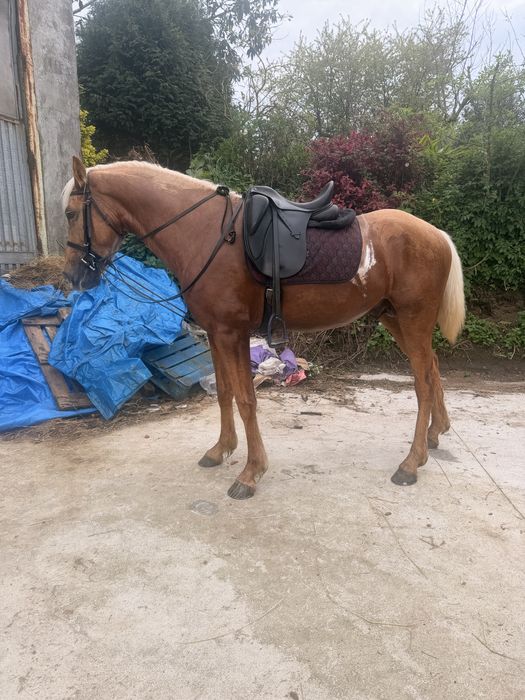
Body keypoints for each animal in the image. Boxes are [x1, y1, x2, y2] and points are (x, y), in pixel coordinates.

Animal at [62, 156, 465, 500]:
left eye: (70, 212)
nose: (73, 276)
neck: (204, 233)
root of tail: (437, 234)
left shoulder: (232, 333)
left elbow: (245, 399)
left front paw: (251, 472)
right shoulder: (215, 333)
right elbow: (224, 393)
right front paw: (221, 450)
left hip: (412, 319)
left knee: (423, 382)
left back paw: (410, 463)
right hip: (393, 318)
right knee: (433, 368)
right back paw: (434, 435)